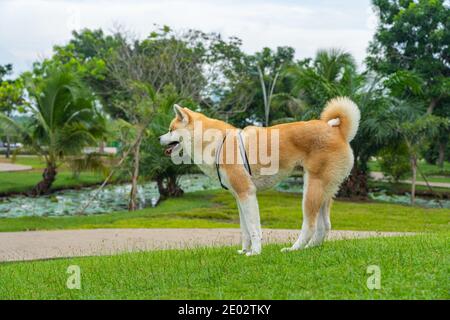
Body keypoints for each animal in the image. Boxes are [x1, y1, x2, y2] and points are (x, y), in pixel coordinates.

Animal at [160, 96, 360, 256]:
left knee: (309, 226)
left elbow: (254, 228)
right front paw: (244, 251)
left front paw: (255, 252)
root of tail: (337, 131)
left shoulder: (247, 193)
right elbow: (245, 230)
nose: (158, 138)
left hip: (311, 191)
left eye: (170, 130)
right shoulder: (239, 197)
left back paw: (294, 249)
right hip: (324, 192)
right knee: (324, 226)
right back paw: (310, 248)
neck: (217, 143)